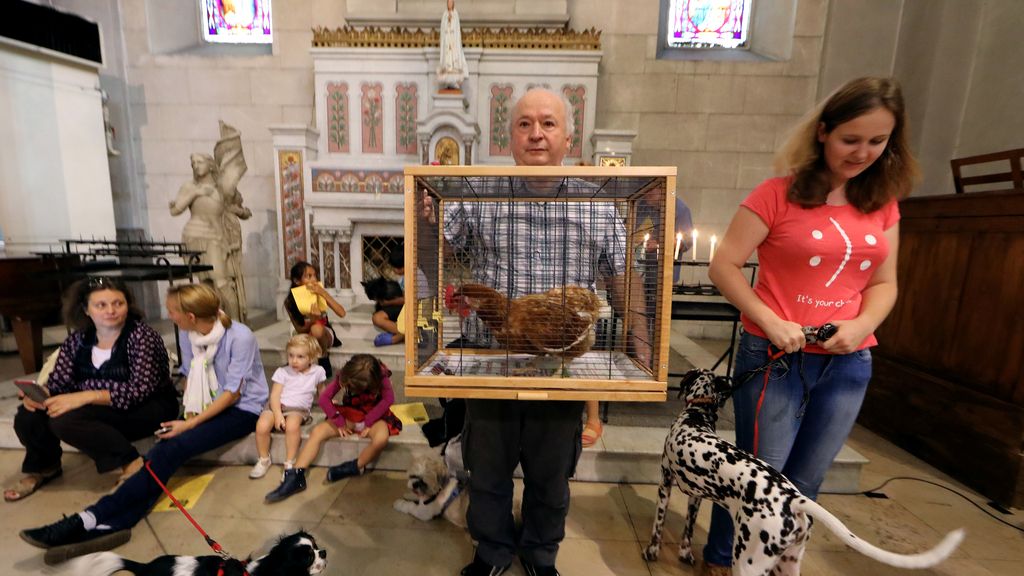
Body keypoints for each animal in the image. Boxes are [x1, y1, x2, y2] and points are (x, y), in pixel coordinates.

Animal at [643, 366, 962, 573]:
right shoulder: (696, 497)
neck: (696, 416)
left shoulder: (665, 482)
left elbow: (657, 526)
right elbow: (686, 532)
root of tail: (794, 499)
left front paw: (652, 552)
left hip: (748, 561)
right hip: (788, 562)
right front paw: (684, 554)